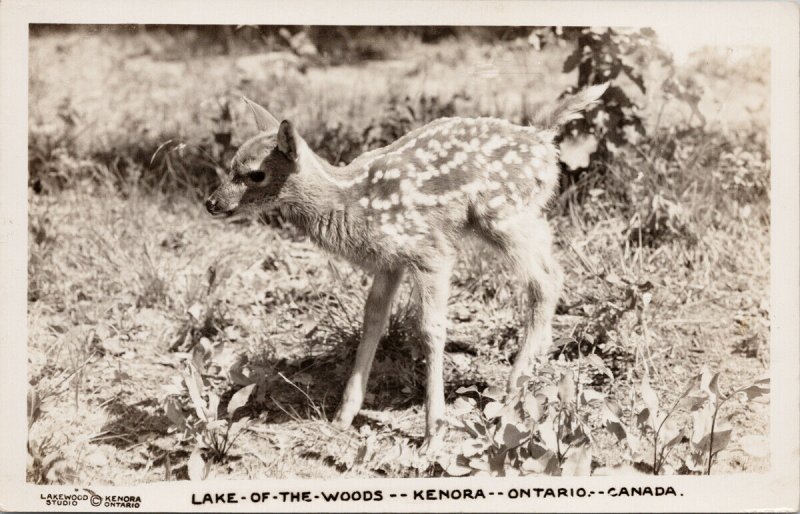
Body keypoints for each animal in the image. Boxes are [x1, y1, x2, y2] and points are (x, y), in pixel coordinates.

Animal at [205, 82, 608, 446]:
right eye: (231, 165)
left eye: (256, 174)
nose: (211, 203)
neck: (350, 199)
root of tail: (542, 136)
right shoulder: (389, 263)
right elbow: (372, 321)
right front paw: (343, 417)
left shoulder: (430, 251)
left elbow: (430, 329)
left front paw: (433, 433)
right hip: (523, 215)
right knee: (552, 270)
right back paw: (536, 365)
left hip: (501, 214)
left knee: (545, 280)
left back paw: (513, 392)